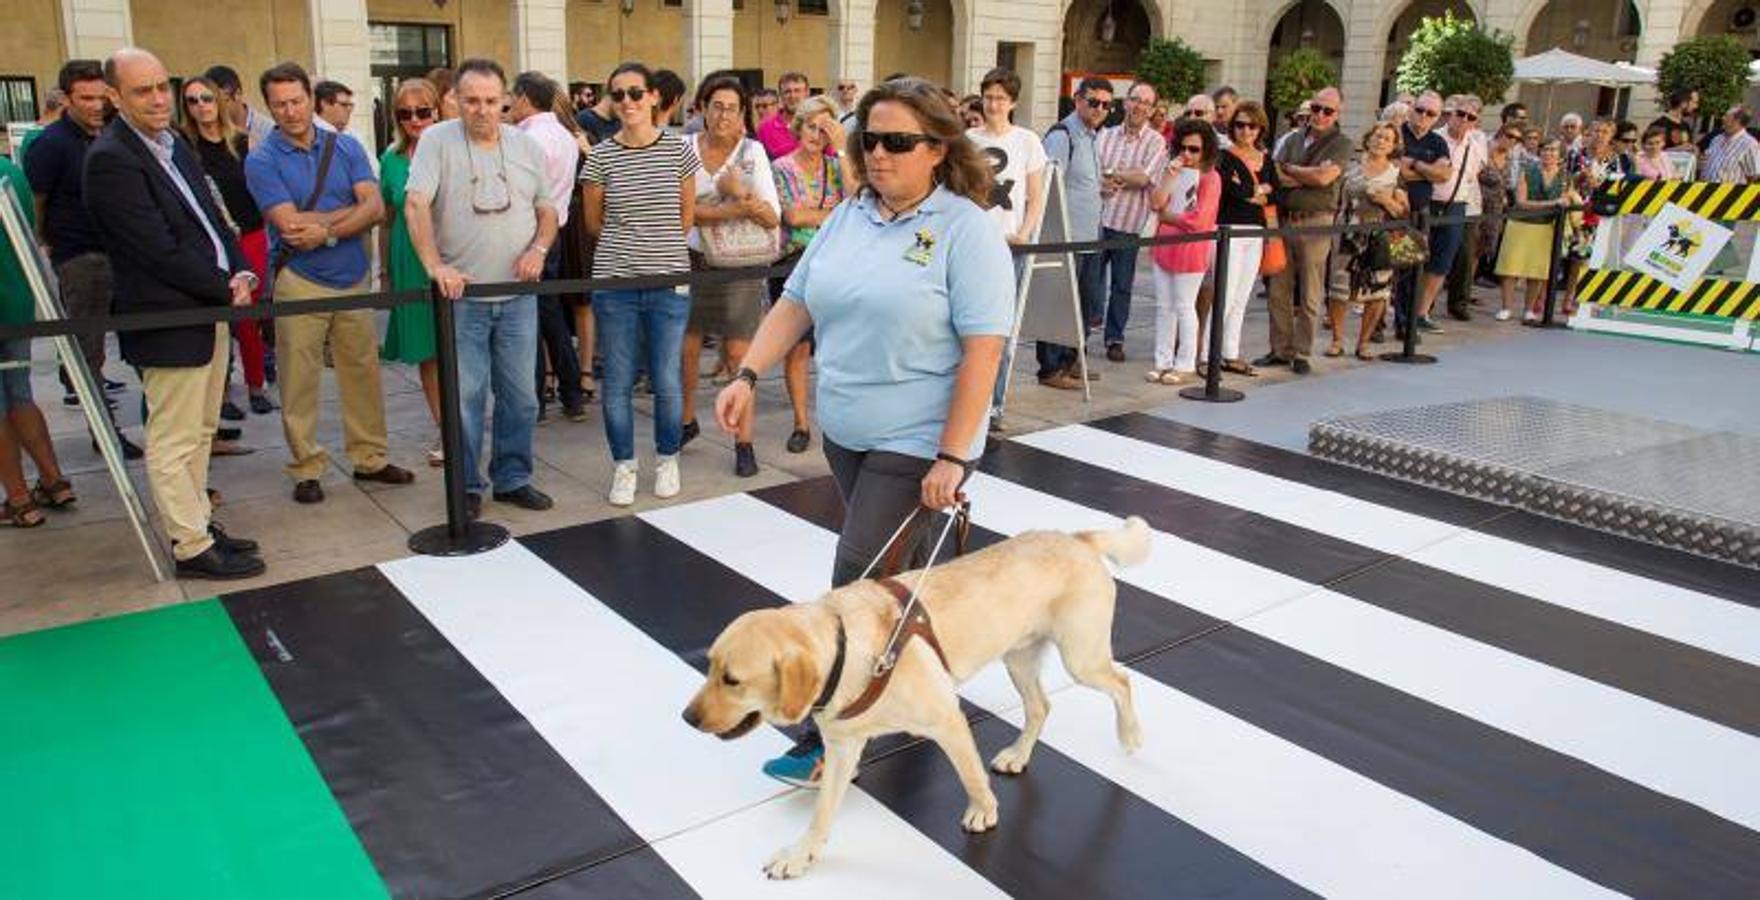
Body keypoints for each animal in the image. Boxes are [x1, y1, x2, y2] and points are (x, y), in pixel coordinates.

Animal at [675, 517, 1154, 877]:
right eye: (709, 665)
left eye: (732, 680)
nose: (686, 718)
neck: (846, 651)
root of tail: (1077, 538)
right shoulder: (842, 748)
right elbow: (823, 811)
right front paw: (801, 854)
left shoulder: (948, 720)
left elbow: (970, 776)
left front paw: (984, 812)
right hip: (1019, 658)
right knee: (1041, 705)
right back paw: (1019, 755)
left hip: (1081, 657)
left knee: (1122, 682)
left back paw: (1130, 734)